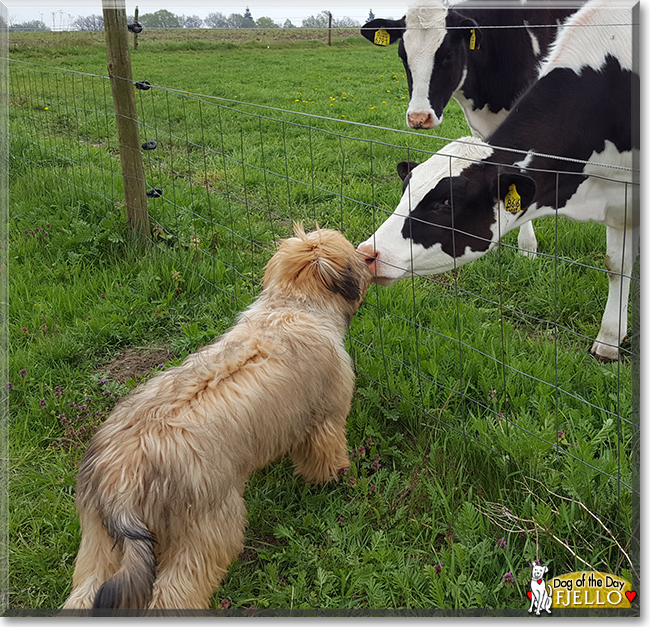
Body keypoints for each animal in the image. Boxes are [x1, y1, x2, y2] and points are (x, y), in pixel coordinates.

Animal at [66, 227, 372, 612]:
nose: (369, 259)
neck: (292, 307)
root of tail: (119, 475)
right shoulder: (326, 419)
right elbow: (326, 454)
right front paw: (334, 478)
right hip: (207, 527)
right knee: (175, 590)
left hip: (99, 540)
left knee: (85, 590)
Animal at [360, 0, 636, 364]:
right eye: (403, 55)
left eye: (447, 201)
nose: (366, 253)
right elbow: (616, 264)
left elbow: (619, 264)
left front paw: (608, 340)